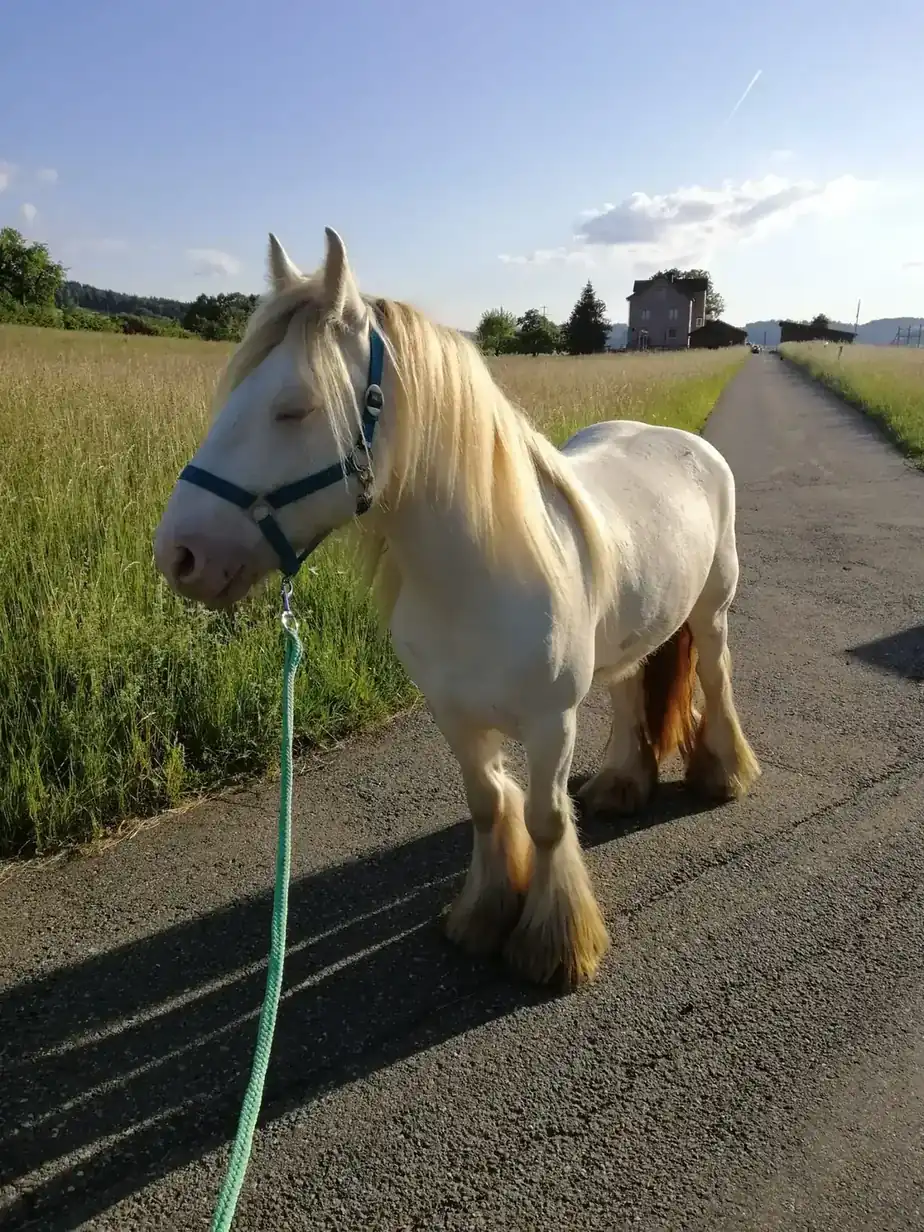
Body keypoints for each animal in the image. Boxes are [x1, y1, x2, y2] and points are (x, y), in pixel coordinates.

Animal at [154, 227, 761, 989]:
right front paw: (483, 916)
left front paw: (553, 945)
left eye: (295, 406)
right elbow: (488, 806)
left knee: (715, 677)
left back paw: (725, 774)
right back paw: (623, 784)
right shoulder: (455, 716)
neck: (479, 579)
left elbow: (545, 819)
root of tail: (685, 442)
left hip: (711, 614)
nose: (179, 554)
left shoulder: (549, 723)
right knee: (628, 695)